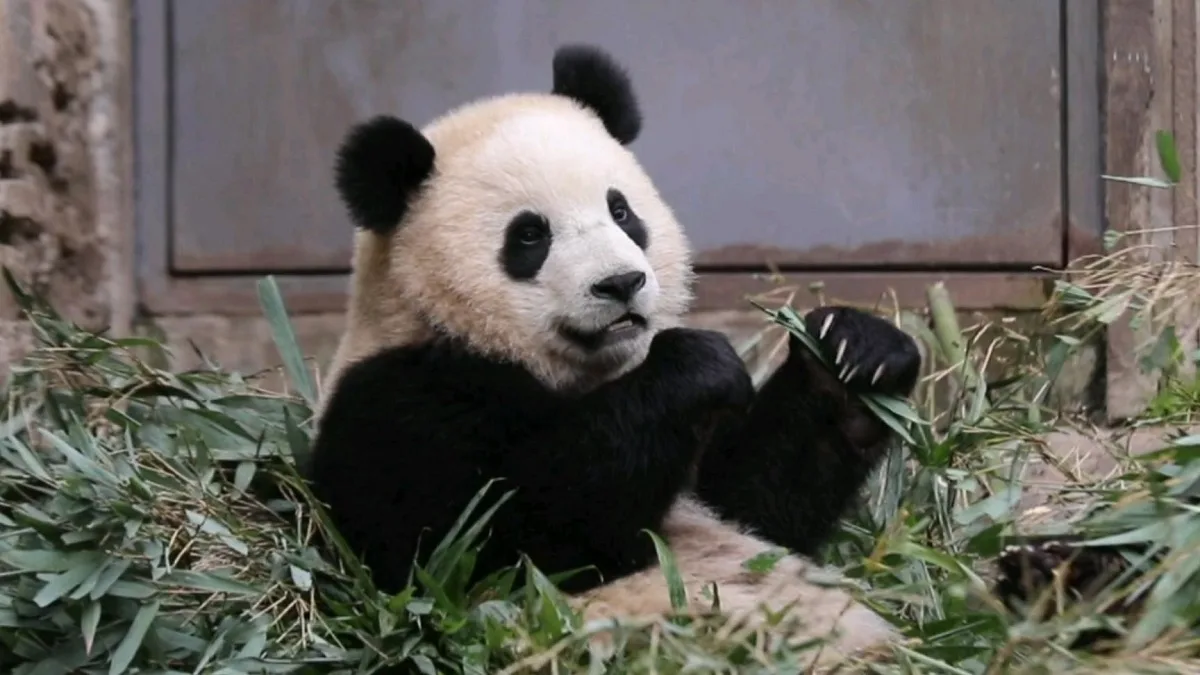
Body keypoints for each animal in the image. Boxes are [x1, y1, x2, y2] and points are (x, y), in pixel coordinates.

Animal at [308, 44, 923, 668]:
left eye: (621, 211)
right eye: (529, 235)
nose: (622, 283)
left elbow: (756, 503)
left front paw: (853, 355)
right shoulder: (397, 399)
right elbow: (478, 547)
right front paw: (695, 366)